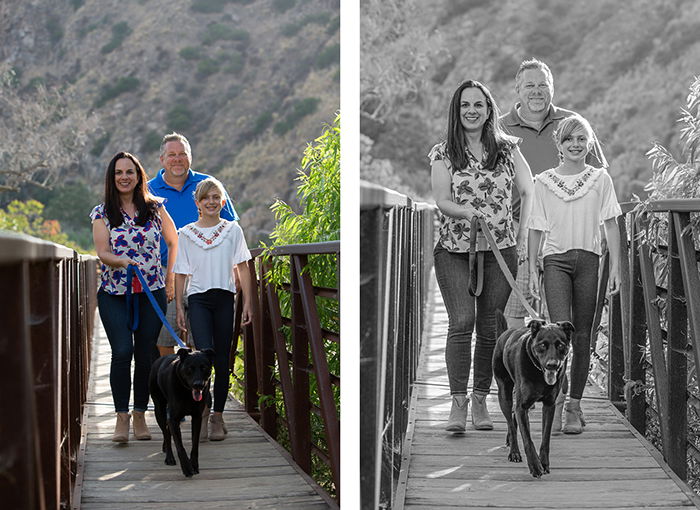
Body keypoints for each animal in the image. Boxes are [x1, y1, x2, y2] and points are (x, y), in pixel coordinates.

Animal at [148, 348, 213, 476]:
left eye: (204, 367)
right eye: (190, 368)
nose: (198, 384)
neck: (187, 392)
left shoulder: (197, 417)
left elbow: (195, 444)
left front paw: (194, 465)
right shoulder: (173, 418)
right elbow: (179, 445)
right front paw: (187, 468)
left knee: (167, 431)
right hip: (159, 409)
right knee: (166, 433)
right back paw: (169, 457)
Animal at [492, 310, 576, 478]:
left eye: (561, 345)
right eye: (542, 345)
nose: (552, 365)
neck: (539, 373)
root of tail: (505, 333)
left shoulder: (549, 405)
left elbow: (545, 438)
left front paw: (544, 463)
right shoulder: (523, 406)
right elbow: (527, 439)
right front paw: (535, 466)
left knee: (513, 418)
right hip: (504, 393)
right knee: (511, 423)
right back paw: (514, 452)